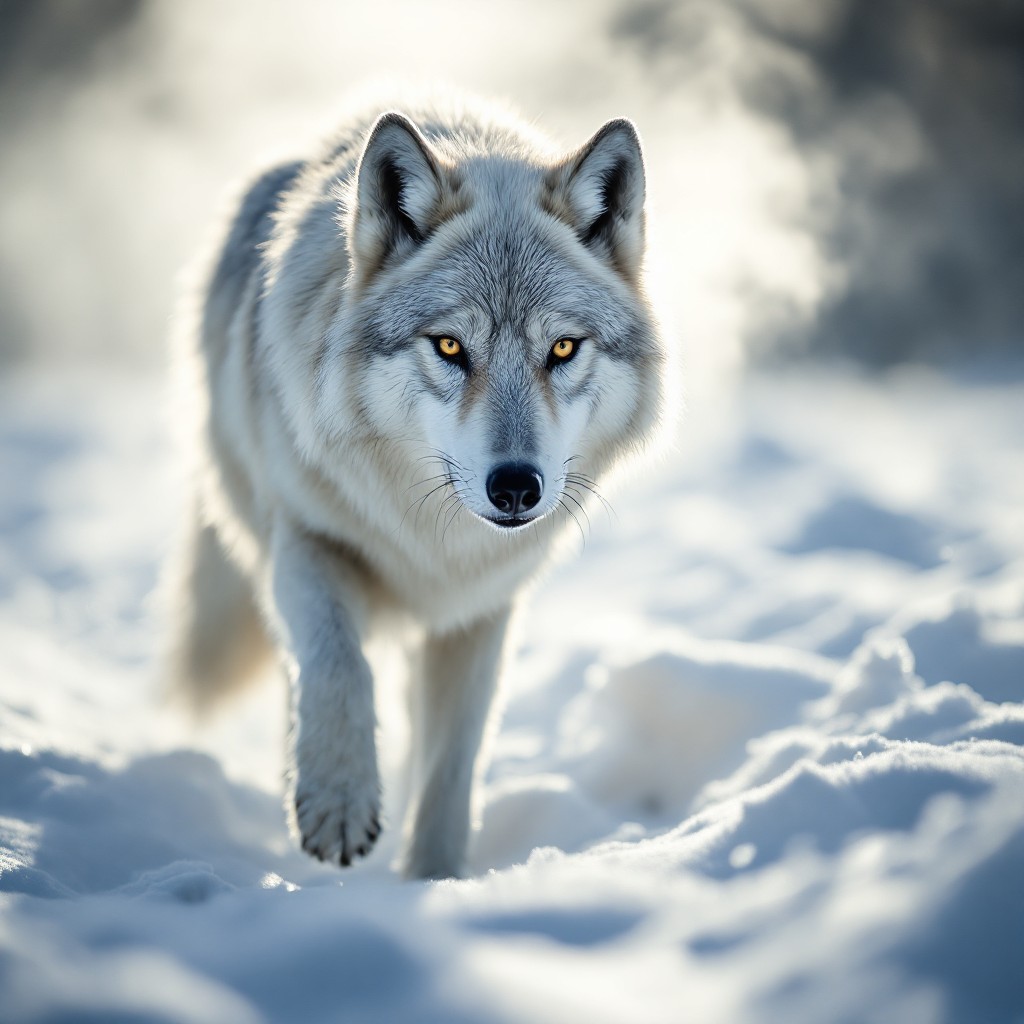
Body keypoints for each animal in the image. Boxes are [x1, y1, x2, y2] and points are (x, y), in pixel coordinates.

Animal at [166, 95, 666, 879]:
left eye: (561, 348)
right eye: (451, 346)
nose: (516, 487)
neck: (433, 543)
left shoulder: (479, 614)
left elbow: (452, 766)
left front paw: (433, 878)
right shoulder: (306, 540)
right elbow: (338, 667)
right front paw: (337, 804)